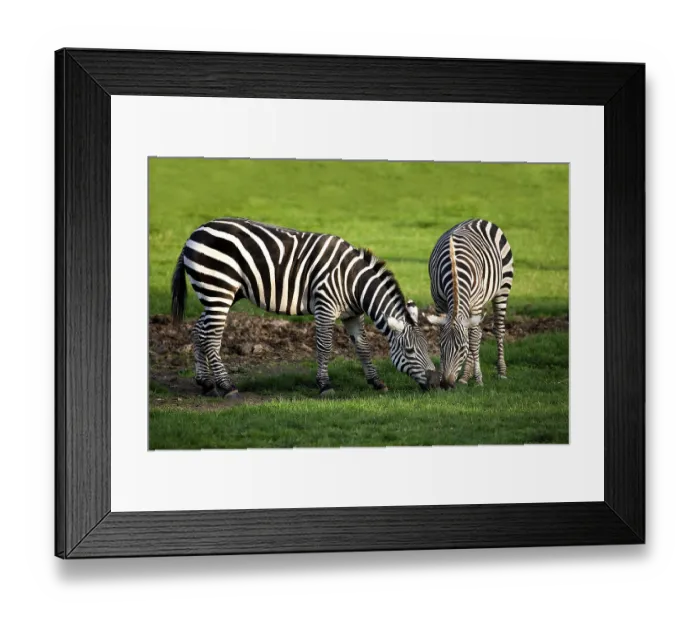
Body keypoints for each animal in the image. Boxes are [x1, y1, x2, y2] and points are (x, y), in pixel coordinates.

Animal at [171, 217, 441, 398]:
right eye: (409, 351)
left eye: (428, 348)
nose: (437, 383)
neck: (354, 283)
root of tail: (194, 232)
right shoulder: (325, 307)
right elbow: (324, 346)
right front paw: (325, 385)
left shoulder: (352, 314)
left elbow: (363, 348)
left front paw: (377, 382)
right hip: (219, 290)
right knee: (211, 337)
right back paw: (226, 386)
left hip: (219, 293)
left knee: (198, 330)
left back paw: (206, 383)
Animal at [426, 218, 514, 388]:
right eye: (441, 346)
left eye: (462, 348)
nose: (446, 384)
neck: (454, 271)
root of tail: (478, 219)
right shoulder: (439, 304)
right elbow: (444, 333)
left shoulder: (475, 304)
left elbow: (472, 340)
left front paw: (479, 379)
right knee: (478, 332)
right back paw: (466, 376)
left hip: (502, 289)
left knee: (498, 330)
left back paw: (501, 371)